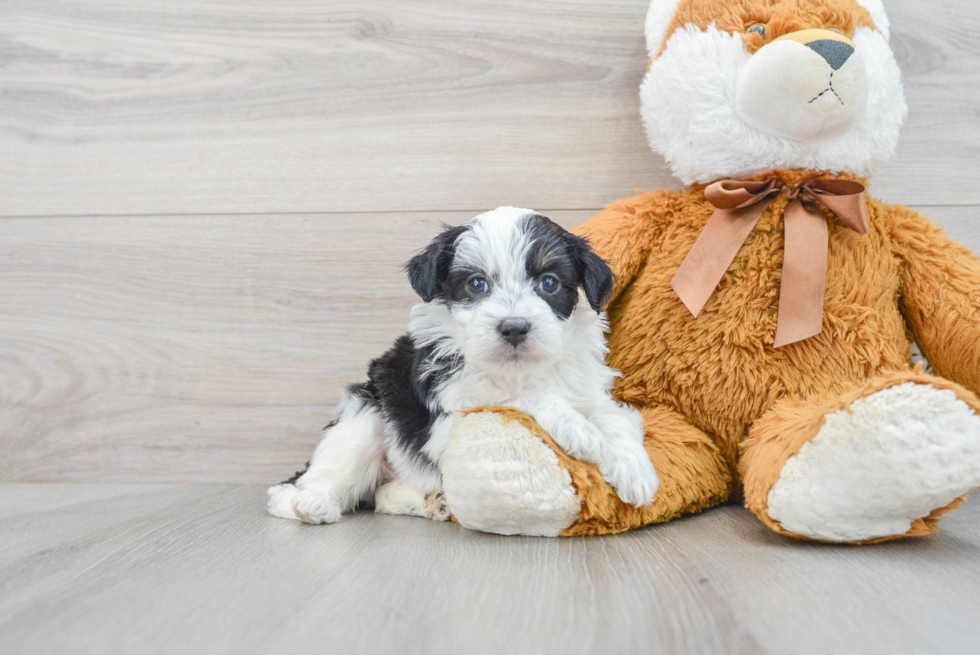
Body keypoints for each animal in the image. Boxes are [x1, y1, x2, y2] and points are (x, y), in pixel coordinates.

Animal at [268, 208, 660, 524]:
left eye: (549, 283)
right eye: (476, 284)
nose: (514, 327)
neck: (520, 367)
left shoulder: (588, 391)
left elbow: (613, 418)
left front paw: (636, 470)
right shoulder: (450, 414)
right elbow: (516, 396)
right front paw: (577, 429)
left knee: (381, 495)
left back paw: (433, 503)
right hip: (365, 412)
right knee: (312, 481)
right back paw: (311, 502)